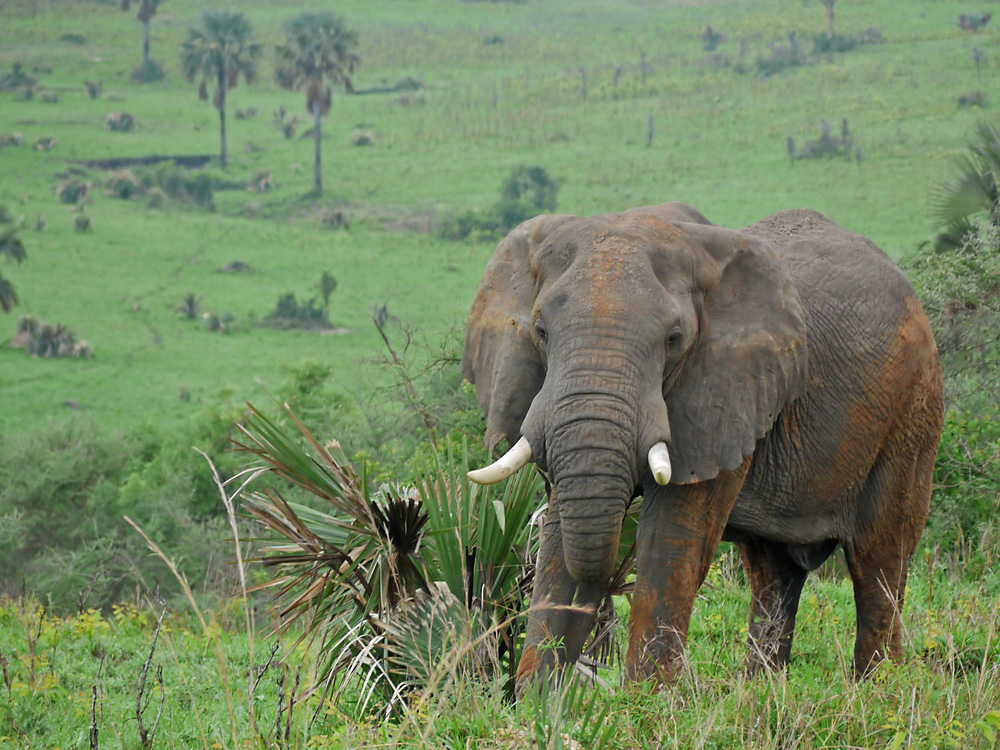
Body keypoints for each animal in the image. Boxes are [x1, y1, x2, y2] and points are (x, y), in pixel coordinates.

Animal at [460, 203, 944, 692]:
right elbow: (559, 532)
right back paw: (762, 691)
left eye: (673, 339)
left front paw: (647, 700)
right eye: (540, 331)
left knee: (879, 561)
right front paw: (541, 698)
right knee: (774, 571)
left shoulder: (723, 391)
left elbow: (670, 537)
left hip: (911, 411)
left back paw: (877, 688)